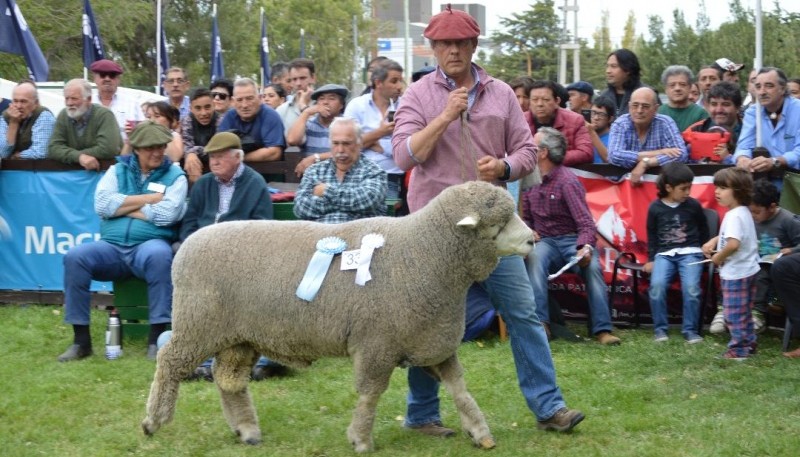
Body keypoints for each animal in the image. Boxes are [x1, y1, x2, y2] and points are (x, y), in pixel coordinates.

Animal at [141, 180, 536, 450]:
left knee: (229, 380)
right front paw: (360, 438)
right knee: (170, 362)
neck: (425, 252)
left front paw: (480, 431)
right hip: (198, 323)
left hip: (239, 336)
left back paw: (247, 431)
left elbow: (459, 389)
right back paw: (153, 421)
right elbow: (370, 394)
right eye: (496, 224)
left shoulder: (432, 342)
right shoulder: (377, 343)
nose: (533, 239)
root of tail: (188, 242)